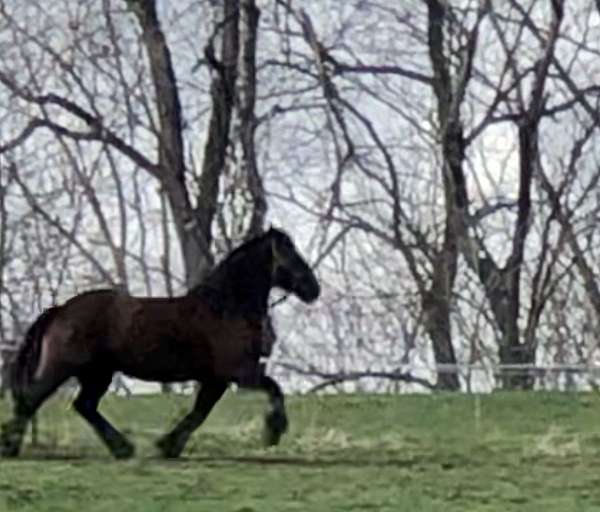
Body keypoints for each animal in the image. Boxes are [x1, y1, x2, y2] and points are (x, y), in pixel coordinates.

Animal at [1, 229, 318, 460]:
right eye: (289, 254)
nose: (313, 289)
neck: (225, 308)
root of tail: (60, 310)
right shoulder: (240, 373)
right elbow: (274, 388)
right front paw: (274, 432)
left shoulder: (216, 379)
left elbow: (199, 412)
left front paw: (168, 446)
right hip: (63, 367)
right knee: (32, 399)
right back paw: (11, 447)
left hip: (98, 374)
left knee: (84, 406)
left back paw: (122, 448)